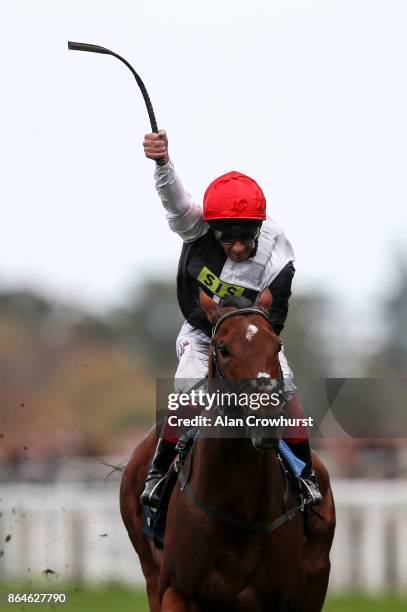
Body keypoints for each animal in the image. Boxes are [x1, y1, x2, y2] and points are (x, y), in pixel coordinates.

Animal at [119, 290, 336, 608]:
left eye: (277, 345)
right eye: (223, 349)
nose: (266, 419)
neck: (236, 505)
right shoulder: (176, 591)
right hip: (150, 571)